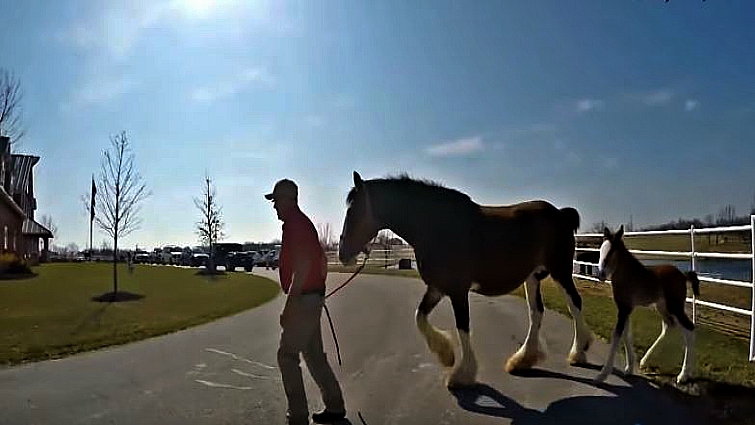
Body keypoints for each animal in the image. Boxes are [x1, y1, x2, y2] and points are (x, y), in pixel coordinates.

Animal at [337, 171, 594, 389]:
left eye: (353, 211)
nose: (342, 254)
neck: (436, 226)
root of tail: (560, 213)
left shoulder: (458, 290)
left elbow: (463, 326)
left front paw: (462, 374)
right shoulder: (437, 287)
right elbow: (420, 317)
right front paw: (446, 355)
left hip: (561, 272)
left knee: (575, 304)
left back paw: (578, 353)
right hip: (532, 277)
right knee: (536, 312)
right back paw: (522, 360)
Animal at [595, 225, 699, 385]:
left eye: (611, 251)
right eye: (601, 250)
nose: (600, 275)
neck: (628, 275)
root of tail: (683, 275)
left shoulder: (624, 309)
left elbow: (617, 336)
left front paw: (603, 374)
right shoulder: (625, 308)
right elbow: (626, 334)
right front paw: (629, 368)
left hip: (675, 306)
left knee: (689, 329)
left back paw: (683, 375)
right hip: (662, 306)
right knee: (669, 325)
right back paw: (645, 361)